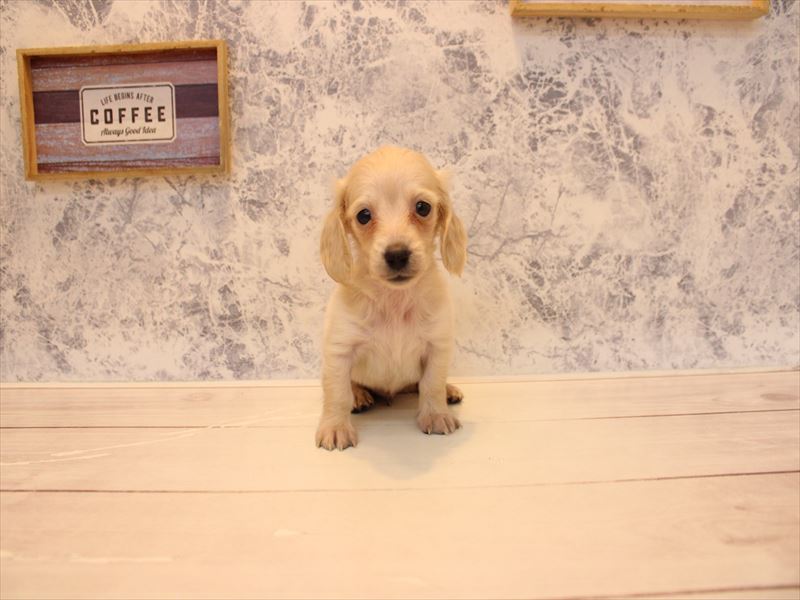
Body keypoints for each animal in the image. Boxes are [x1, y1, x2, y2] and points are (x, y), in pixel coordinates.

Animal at [316, 146, 468, 450]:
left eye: (423, 208)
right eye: (363, 215)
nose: (397, 254)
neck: (394, 301)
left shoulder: (437, 347)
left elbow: (431, 384)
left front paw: (436, 414)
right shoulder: (339, 350)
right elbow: (336, 393)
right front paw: (335, 427)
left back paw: (449, 391)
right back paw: (360, 396)